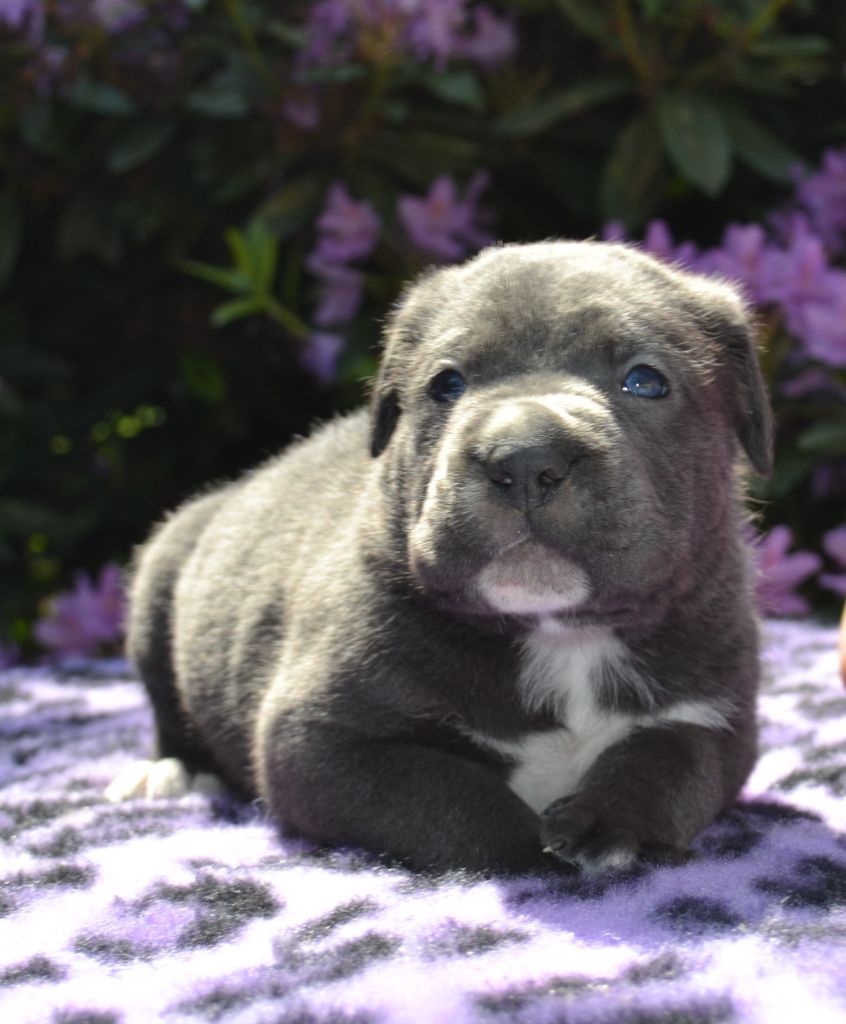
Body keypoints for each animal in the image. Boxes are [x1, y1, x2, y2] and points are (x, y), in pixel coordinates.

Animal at [109, 240, 773, 874]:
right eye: (446, 385)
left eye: (645, 380)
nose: (525, 458)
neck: (561, 635)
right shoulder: (318, 740)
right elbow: (446, 795)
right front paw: (525, 844)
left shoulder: (716, 718)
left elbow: (672, 766)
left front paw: (610, 820)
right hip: (161, 577)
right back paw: (168, 770)